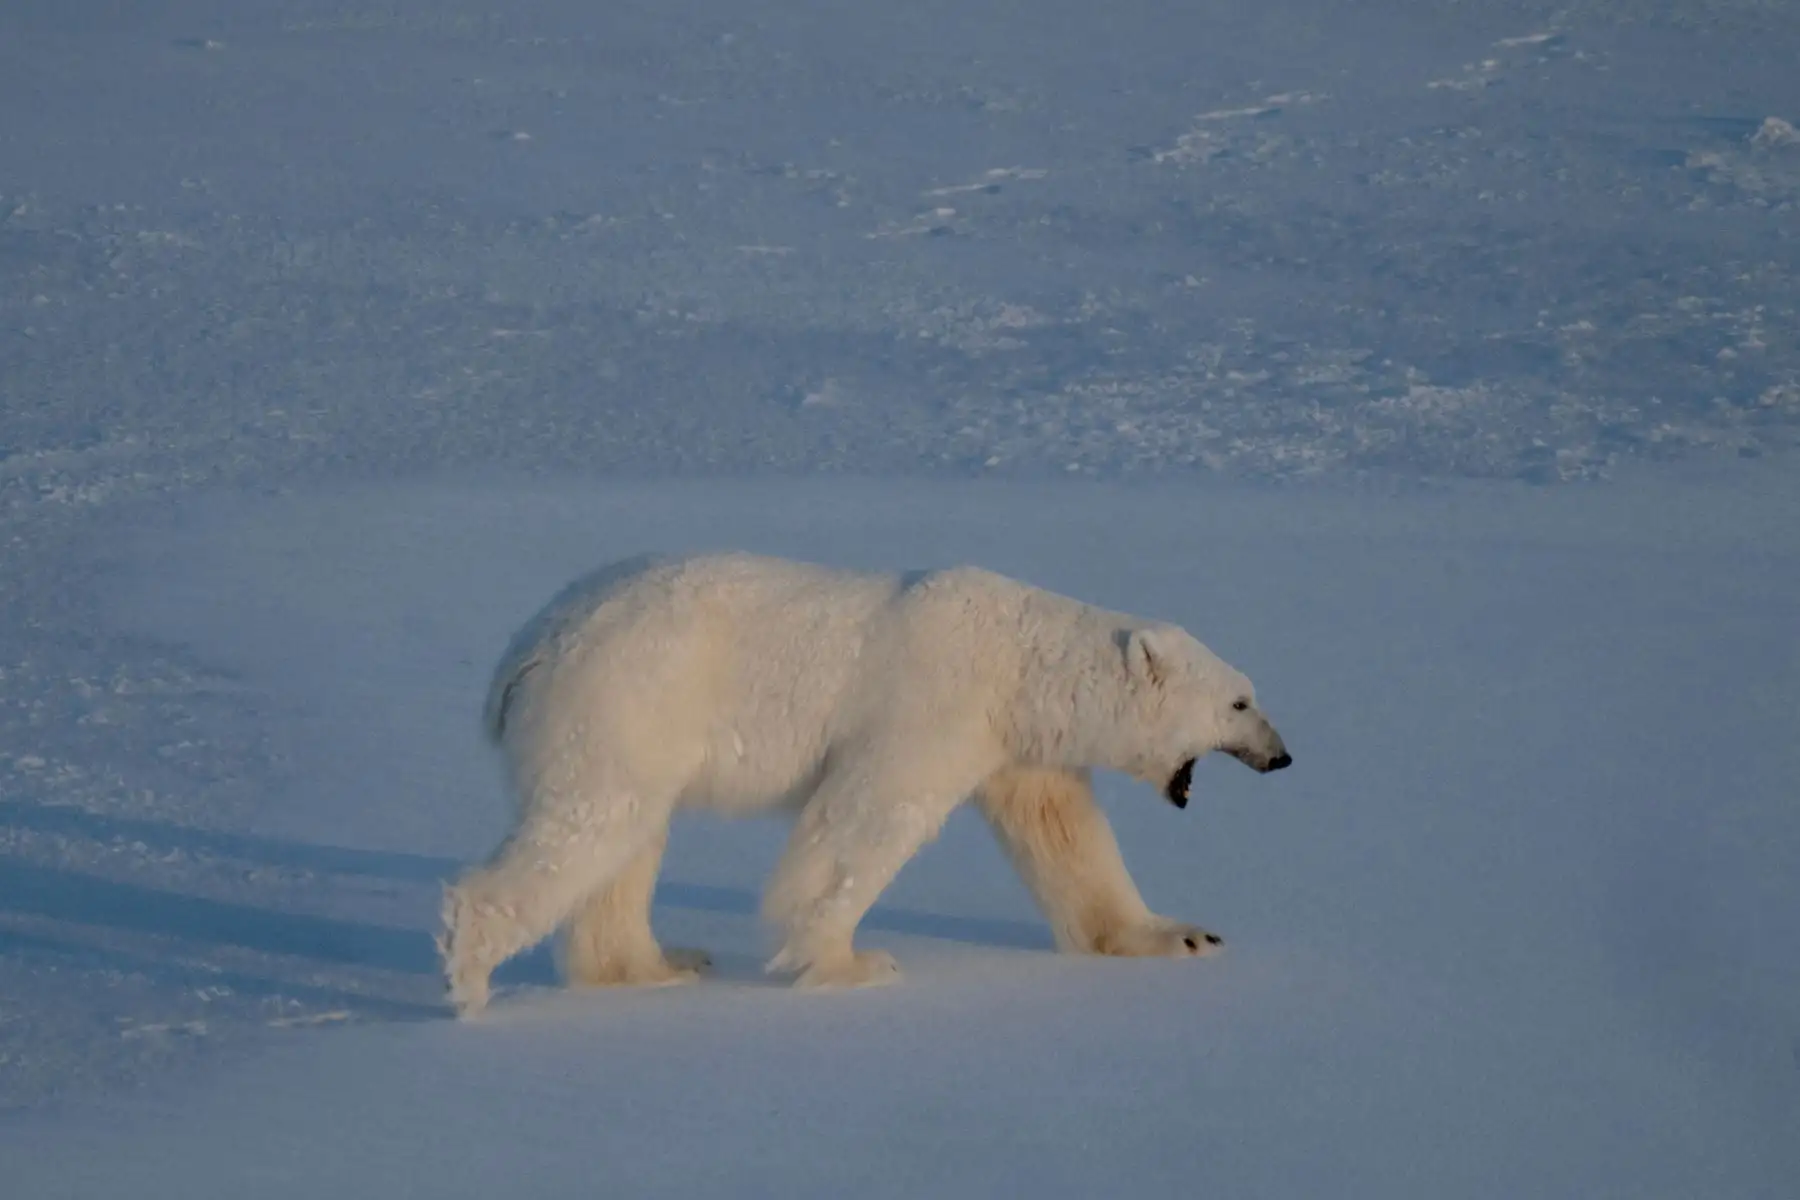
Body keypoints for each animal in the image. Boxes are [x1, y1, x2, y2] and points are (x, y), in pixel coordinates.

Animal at [439, 551, 1291, 1016]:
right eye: (1240, 702)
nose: (1283, 756)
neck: (1020, 661)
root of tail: (523, 649)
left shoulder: (1016, 744)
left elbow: (1064, 834)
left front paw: (1183, 935)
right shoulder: (934, 702)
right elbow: (868, 816)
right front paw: (851, 963)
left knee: (626, 840)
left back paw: (657, 965)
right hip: (624, 697)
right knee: (590, 823)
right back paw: (470, 974)